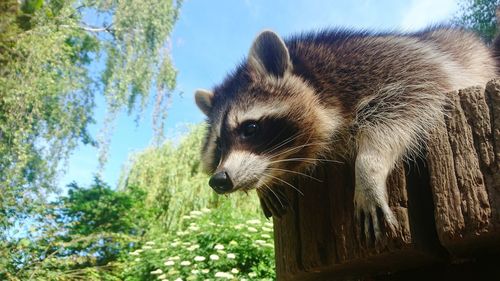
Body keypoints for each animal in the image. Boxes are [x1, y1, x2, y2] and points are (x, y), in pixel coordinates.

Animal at [193, 26, 498, 241]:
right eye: (219, 146)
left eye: (250, 128)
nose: (219, 180)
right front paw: (266, 184)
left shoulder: (392, 66)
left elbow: (407, 102)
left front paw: (368, 170)